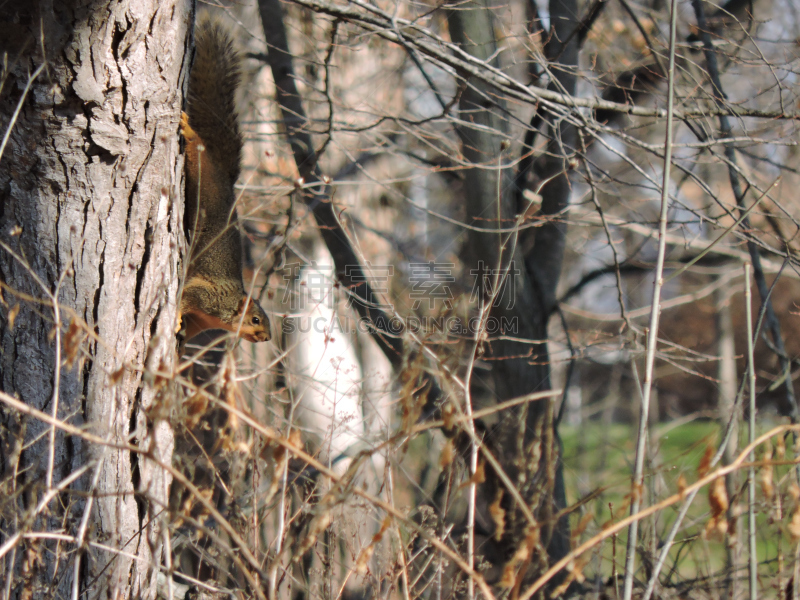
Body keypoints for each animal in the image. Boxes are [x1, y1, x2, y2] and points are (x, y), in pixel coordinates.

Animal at [180, 18, 270, 344]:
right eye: (255, 319)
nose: (266, 338)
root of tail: (225, 179)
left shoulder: (201, 319)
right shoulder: (208, 296)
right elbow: (186, 298)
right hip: (203, 173)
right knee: (199, 148)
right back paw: (189, 132)